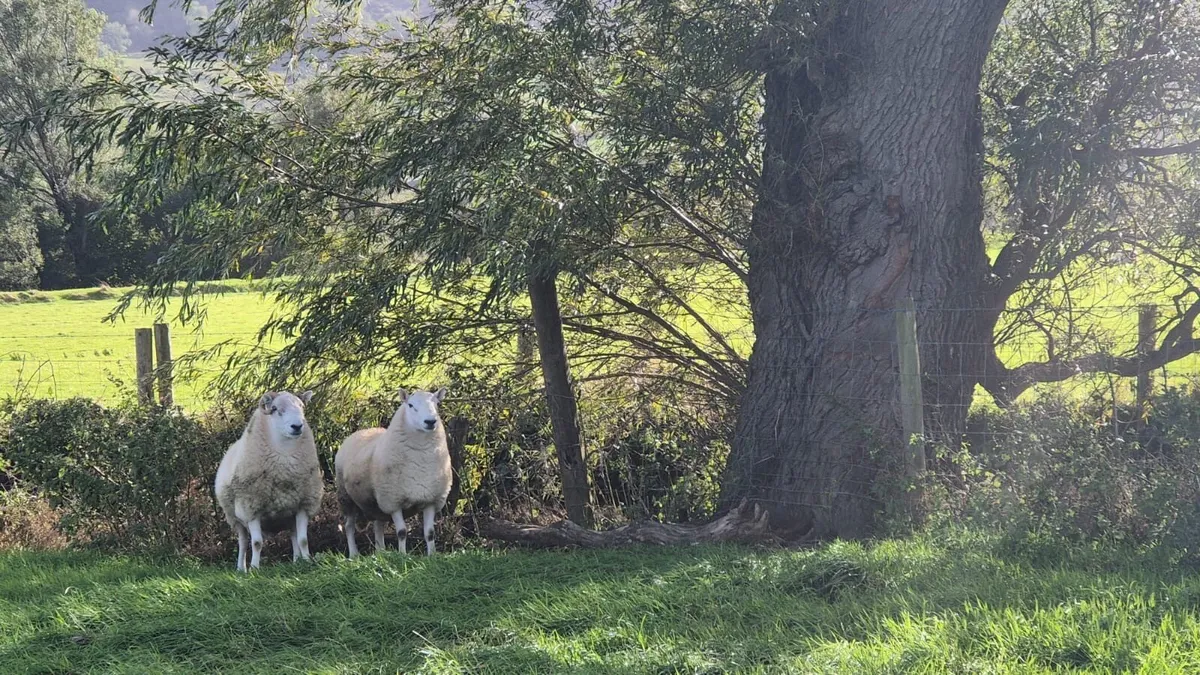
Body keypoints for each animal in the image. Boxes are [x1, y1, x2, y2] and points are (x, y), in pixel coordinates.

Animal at [214, 390, 323, 572]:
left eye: (302, 406)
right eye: (275, 409)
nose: (297, 426)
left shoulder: (303, 504)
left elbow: (303, 539)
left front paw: (308, 561)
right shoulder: (251, 507)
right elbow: (257, 543)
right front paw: (255, 568)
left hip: (289, 514)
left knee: (293, 536)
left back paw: (297, 560)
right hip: (235, 518)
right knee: (243, 542)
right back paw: (241, 568)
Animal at [335, 387, 451, 557]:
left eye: (437, 403)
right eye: (410, 405)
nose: (430, 422)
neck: (421, 456)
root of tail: (363, 430)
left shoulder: (431, 499)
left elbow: (430, 533)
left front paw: (432, 555)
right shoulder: (393, 501)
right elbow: (402, 532)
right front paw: (402, 555)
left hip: (377, 503)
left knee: (378, 525)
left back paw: (381, 552)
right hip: (346, 498)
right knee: (349, 527)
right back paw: (354, 554)